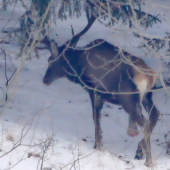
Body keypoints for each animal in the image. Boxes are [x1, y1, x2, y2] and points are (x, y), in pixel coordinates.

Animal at [42, 15, 159, 167]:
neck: (78, 69)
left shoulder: (94, 89)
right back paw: (140, 151)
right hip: (147, 96)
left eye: (50, 59)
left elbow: (95, 117)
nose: (45, 79)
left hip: (128, 98)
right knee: (155, 114)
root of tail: (151, 76)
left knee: (145, 124)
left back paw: (149, 161)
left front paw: (97, 145)